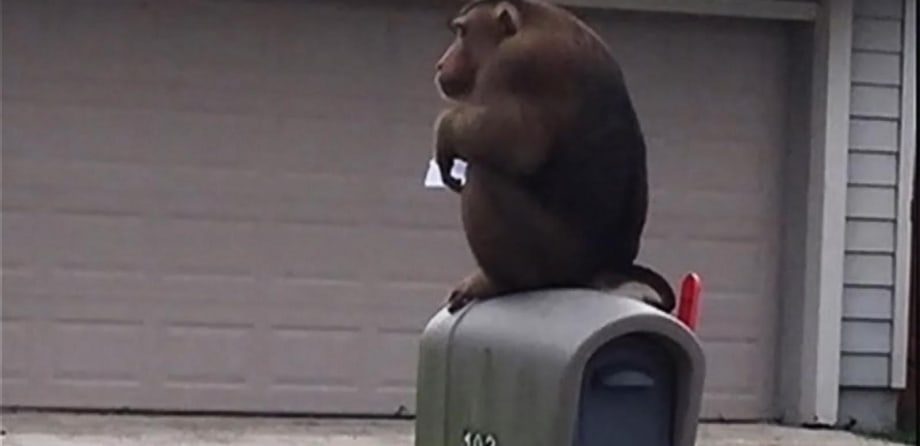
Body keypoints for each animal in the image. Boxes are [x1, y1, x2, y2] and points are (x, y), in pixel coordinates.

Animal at [432, 0, 676, 314]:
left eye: (462, 32)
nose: (441, 63)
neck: (524, 24)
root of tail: (608, 269)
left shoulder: (517, 63)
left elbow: (517, 141)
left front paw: (446, 131)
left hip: (555, 264)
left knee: (486, 174)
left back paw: (499, 282)